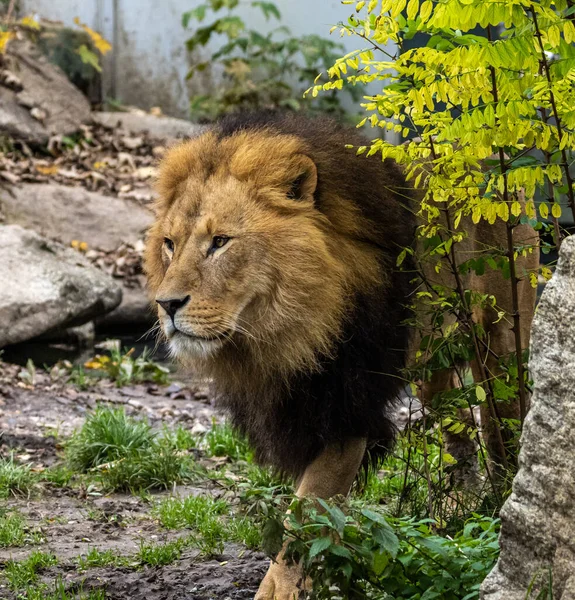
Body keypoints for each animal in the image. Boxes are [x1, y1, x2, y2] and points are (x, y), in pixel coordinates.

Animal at [145, 111, 540, 596]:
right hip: (432, 364)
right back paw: (459, 503)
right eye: (169, 244)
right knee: (457, 422)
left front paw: (281, 588)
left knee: (504, 425)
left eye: (220, 241)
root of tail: (495, 156)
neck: (278, 334)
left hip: (504, 340)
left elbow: (306, 513)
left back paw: (499, 504)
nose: (166, 304)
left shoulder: (347, 406)